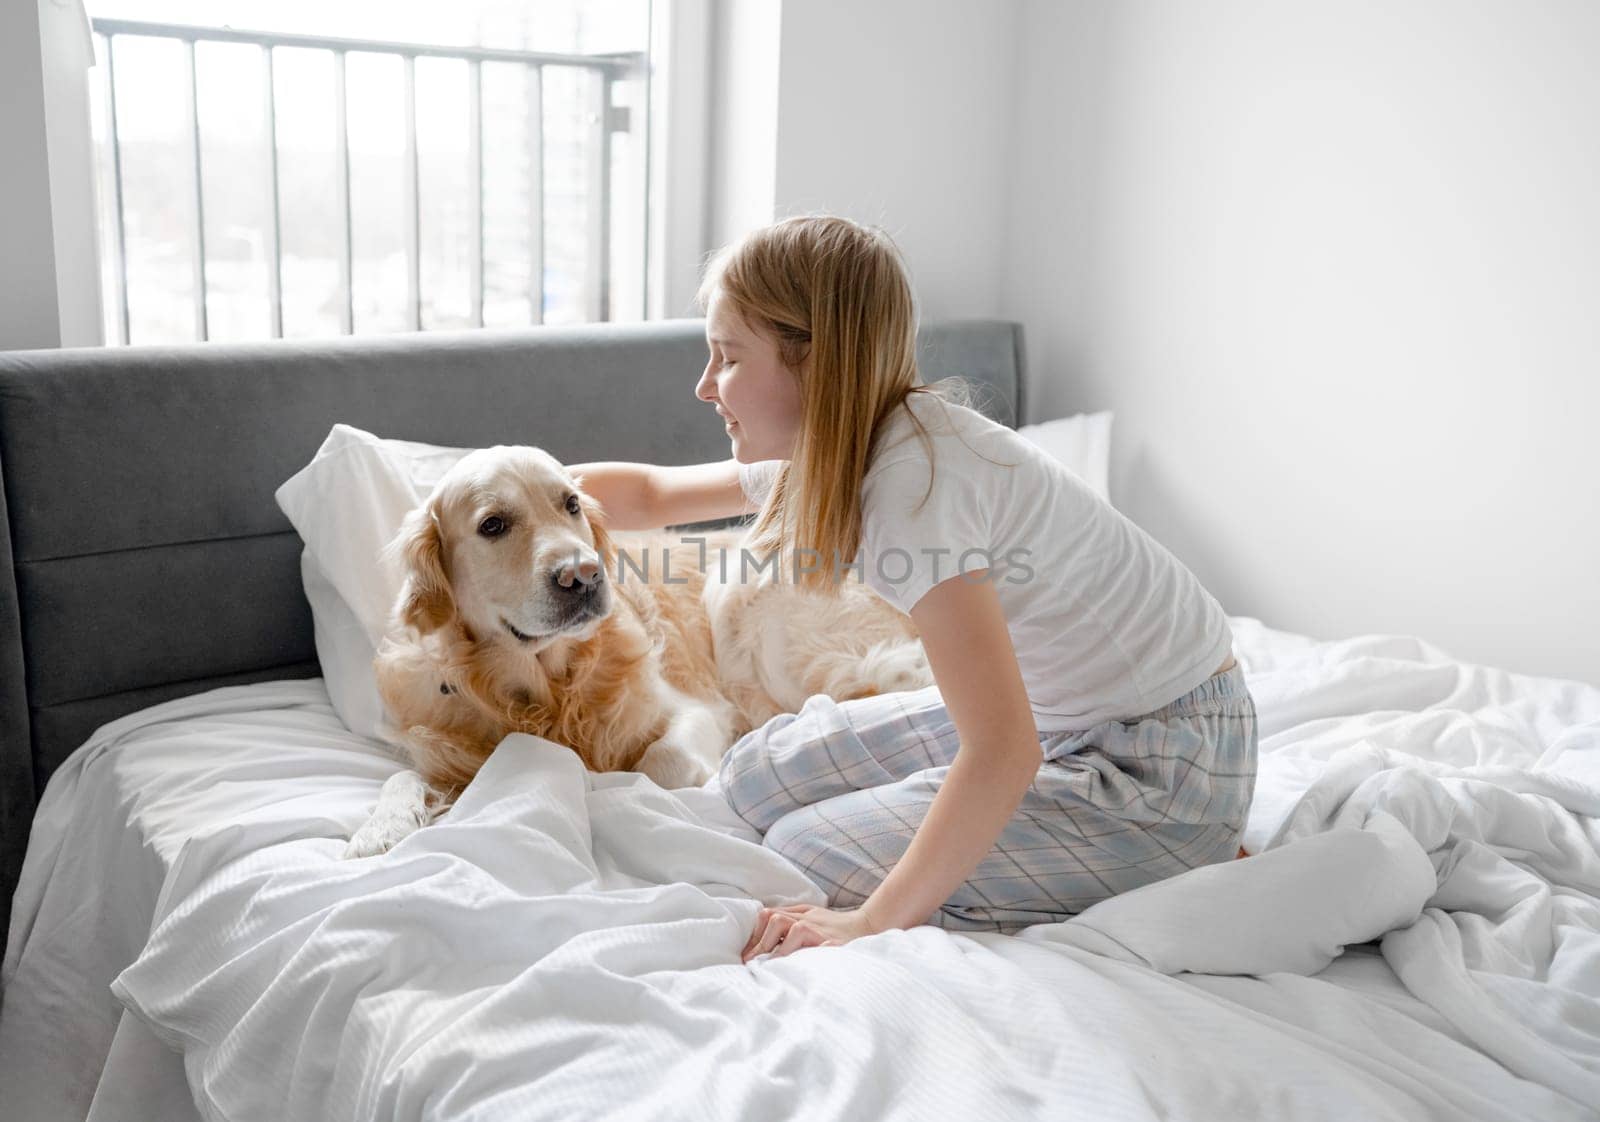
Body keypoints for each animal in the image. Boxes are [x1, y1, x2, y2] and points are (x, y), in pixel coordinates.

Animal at [344, 441, 934, 851]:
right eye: (492, 525)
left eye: (571, 504)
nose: (583, 574)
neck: (547, 688)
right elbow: (402, 774)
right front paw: (382, 828)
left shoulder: (699, 710)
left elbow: (656, 763)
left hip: (742, 596)